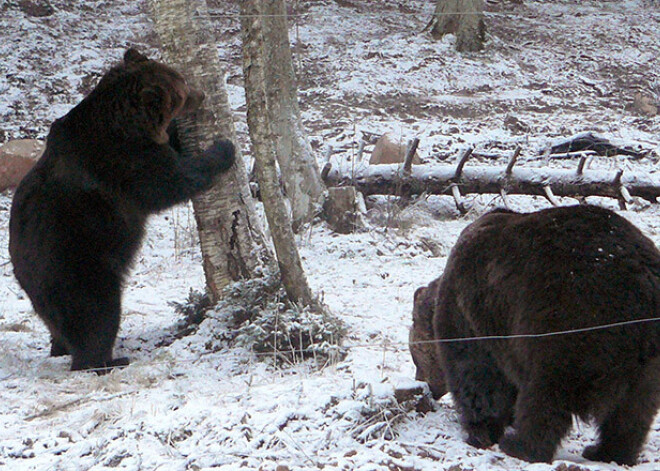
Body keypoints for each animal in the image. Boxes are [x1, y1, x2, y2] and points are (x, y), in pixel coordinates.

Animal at [10, 47, 237, 372]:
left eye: (180, 76)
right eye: (182, 87)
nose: (202, 93)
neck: (125, 123)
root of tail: (21, 273)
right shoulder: (121, 161)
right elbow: (171, 182)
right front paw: (224, 148)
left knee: (59, 325)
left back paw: (60, 348)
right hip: (75, 265)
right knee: (97, 315)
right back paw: (106, 360)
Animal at [410, 206, 660, 464]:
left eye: (415, 358)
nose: (424, 383)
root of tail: (641, 285)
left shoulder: (473, 314)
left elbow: (475, 374)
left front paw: (481, 430)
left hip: (563, 320)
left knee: (545, 395)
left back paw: (520, 445)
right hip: (645, 354)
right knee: (632, 410)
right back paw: (607, 452)